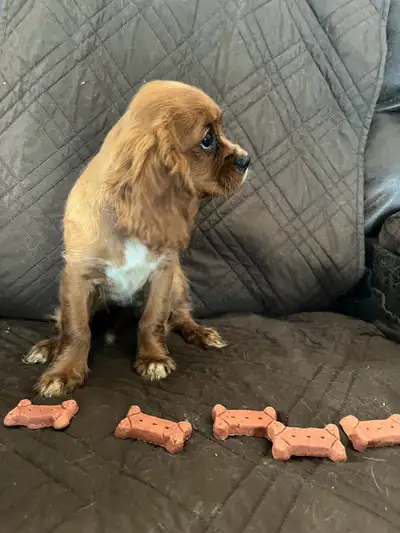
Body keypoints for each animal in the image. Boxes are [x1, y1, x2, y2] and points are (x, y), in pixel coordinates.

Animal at [23, 79, 248, 394]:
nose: (246, 159)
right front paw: (64, 371)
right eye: (207, 140)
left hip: (179, 282)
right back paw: (49, 346)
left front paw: (153, 358)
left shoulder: (164, 272)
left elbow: (153, 319)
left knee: (181, 316)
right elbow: (77, 328)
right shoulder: (78, 276)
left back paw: (201, 333)